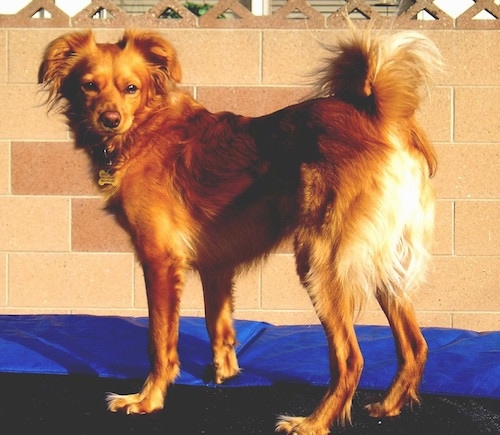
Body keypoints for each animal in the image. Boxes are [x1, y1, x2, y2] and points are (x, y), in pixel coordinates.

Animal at [39, 29, 442, 434]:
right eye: (89, 86)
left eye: (131, 88)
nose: (109, 120)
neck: (144, 128)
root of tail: (382, 119)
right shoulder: (216, 264)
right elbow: (218, 325)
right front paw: (225, 374)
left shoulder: (160, 260)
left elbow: (159, 339)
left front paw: (146, 400)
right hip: (380, 261)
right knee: (416, 346)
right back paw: (388, 406)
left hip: (320, 260)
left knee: (351, 358)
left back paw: (312, 422)